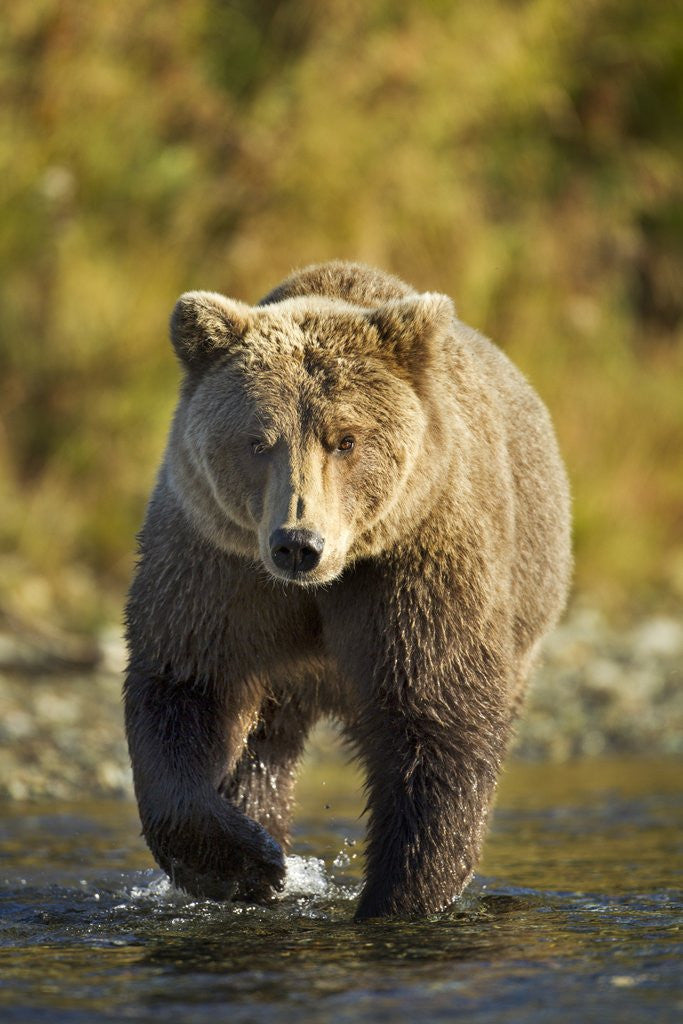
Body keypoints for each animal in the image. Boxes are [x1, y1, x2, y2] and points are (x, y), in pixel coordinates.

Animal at [124, 260, 571, 919]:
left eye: (347, 439)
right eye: (258, 440)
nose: (297, 543)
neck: (325, 583)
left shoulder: (414, 568)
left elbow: (437, 719)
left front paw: (398, 897)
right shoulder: (218, 567)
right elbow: (185, 686)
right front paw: (247, 864)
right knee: (264, 748)